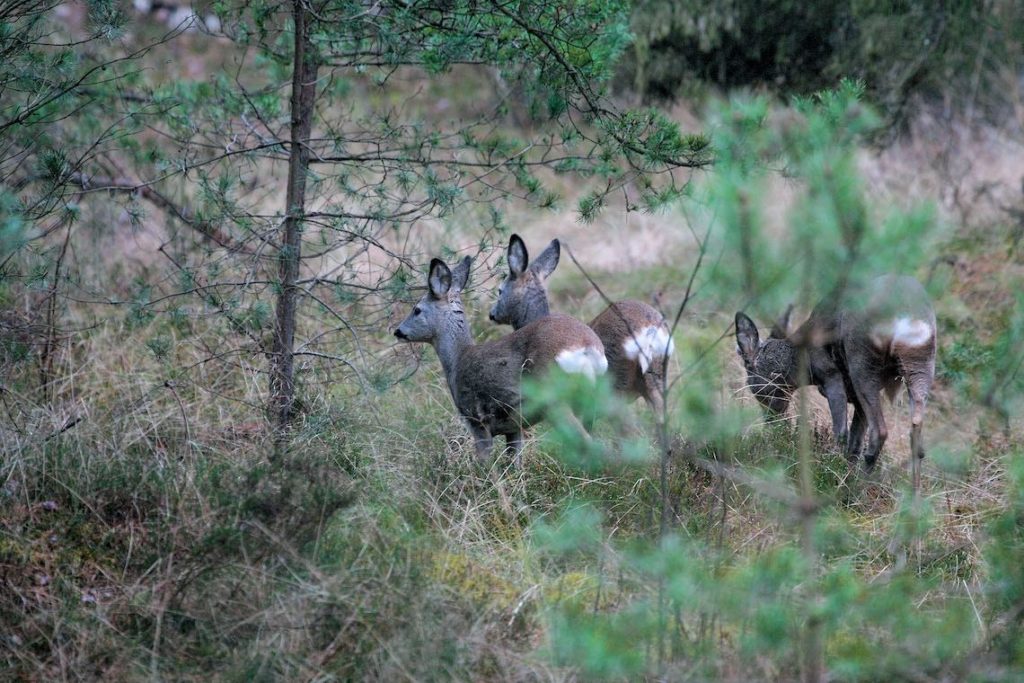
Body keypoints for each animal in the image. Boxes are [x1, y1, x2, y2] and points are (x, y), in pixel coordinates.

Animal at [393, 253, 606, 466]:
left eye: (417, 309)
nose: (397, 331)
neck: (457, 358)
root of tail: (587, 346)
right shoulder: (514, 427)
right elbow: (514, 463)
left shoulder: (476, 418)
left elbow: (484, 463)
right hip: (589, 398)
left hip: (553, 397)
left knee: (587, 442)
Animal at [737, 274, 937, 489]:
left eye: (752, 383)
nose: (771, 423)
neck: (803, 361)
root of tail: (905, 313)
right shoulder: (856, 399)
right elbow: (854, 444)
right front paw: (846, 471)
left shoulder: (831, 375)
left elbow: (841, 432)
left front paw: (832, 470)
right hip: (922, 362)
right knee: (916, 437)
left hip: (862, 362)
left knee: (879, 432)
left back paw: (855, 488)